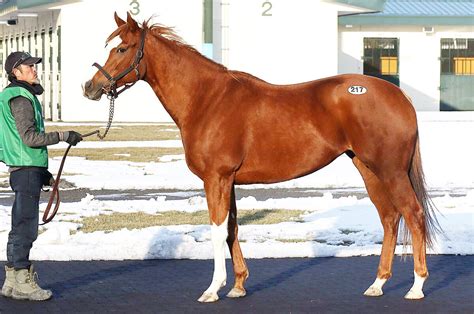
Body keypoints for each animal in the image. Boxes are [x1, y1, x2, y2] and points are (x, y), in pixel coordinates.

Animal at [82, 13, 440, 302]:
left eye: (122, 49)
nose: (90, 86)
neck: (207, 99)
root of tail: (400, 95)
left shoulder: (216, 178)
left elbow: (216, 230)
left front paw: (213, 289)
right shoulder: (228, 181)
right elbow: (231, 229)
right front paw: (239, 285)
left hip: (390, 171)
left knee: (413, 215)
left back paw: (416, 286)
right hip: (368, 169)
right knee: (390, 218)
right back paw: (378, 284)